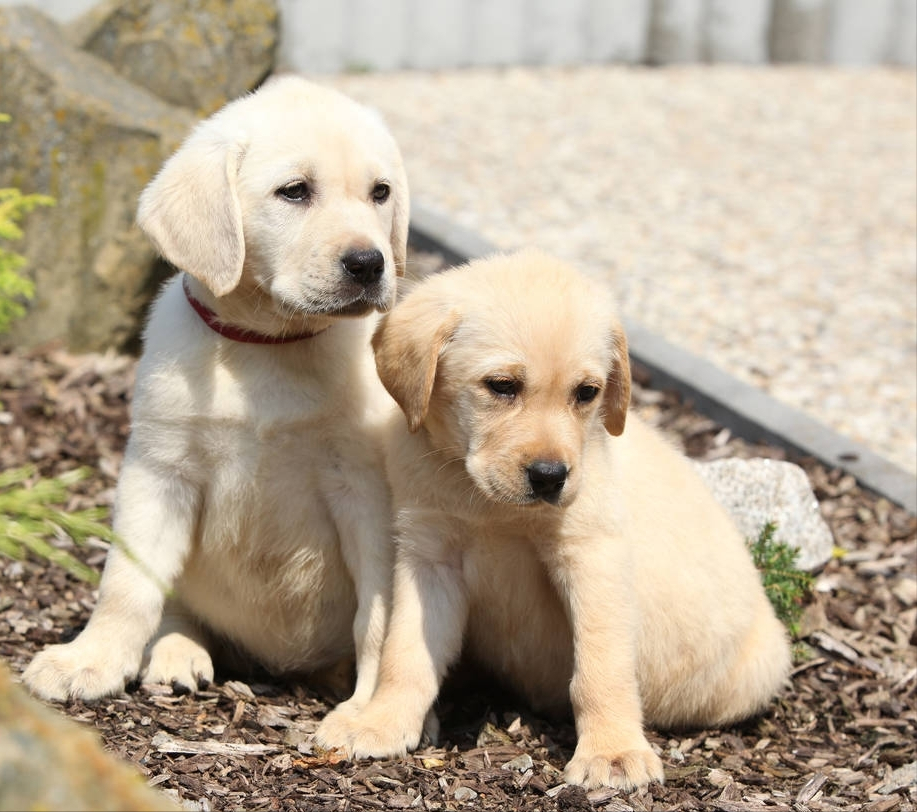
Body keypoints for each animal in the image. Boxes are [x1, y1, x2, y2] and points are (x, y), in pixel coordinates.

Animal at [23, 74, 408, 712]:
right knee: (177, 606)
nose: (369, 263)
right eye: (294, 192)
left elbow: (380, 612)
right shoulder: (159, 472)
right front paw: (91, 660)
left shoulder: (367, 490)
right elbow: (127, 585)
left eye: (381, 193)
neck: (269, 344)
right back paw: (178, 653)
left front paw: (373, 705)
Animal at [314, 251, 788, 788]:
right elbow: (405, 652)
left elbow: (601, 668)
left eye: (587, 393)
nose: (549, 477)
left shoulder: (591, 556)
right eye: (502, 386)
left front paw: (613, 752)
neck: (490, 505)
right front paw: (380, 721)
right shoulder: (429, 556)